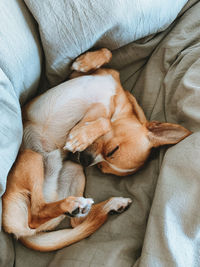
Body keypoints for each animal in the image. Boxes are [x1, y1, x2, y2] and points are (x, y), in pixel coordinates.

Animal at [1, 49, 192, 252]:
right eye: (112, 151)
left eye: (102, 168)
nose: (84, 160)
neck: (117, 100)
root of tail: (18, 233)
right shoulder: (73, 77)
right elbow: (106, 54)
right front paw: (85, 61)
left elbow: (105, 121)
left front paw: (80, 136)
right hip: (49, 163)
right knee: (61, 219)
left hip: (58, 166)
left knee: (46, 215)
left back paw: (93, 205)